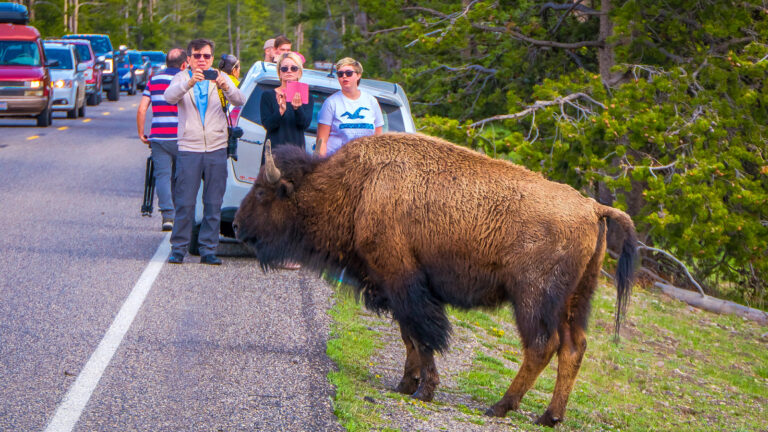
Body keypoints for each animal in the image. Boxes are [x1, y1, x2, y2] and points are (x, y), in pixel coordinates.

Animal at [233, 133, 637, 427]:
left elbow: (424, 336)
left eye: (264, 192)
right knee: (573, 348)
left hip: (533, 299)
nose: (236, 226)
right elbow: (409, 336)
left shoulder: (404, 280)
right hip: (575, 301)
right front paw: (405, 384)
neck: (359, 188)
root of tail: (593, 207)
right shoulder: (394, 286)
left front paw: (423, 390)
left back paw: (500, 406)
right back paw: (548, 416)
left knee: (541, 346)